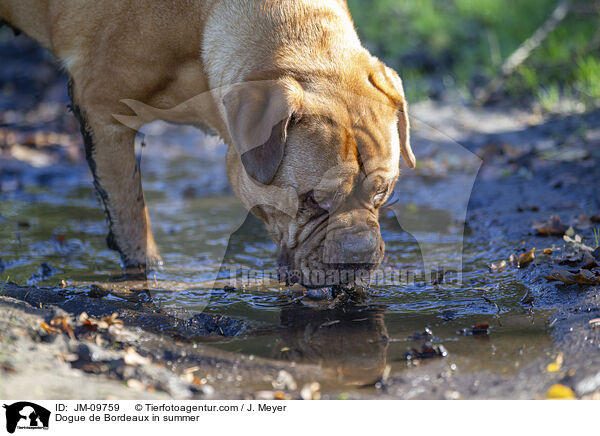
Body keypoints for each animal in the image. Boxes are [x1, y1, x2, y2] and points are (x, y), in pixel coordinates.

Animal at [1, 0, 412, 290]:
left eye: (383, 192)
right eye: (313, 200)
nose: (358, 256)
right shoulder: (105, 114)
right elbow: (132, 218)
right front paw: (147, 274)